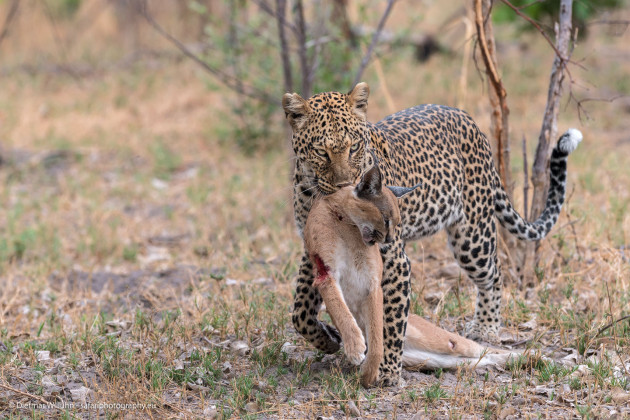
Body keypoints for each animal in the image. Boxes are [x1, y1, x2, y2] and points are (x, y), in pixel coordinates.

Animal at [284, 80, 584, 386]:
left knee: (494, 275)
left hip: (473, 236)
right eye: (321, 152)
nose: (345, 185)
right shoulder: (313, 252)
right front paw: (328, 339)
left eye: (354, 147)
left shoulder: (394, 260)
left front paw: (387, 371)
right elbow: (301, 311)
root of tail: (468, 119)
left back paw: (486, 328)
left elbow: (390, 320)